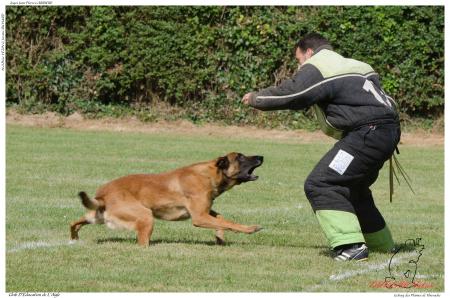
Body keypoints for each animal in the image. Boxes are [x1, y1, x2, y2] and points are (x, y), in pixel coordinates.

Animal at [68, 152, 262, 246]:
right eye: (240, 157)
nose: (262, 157)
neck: (210, 174)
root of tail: (103, 195)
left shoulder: (205, 211)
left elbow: (221, 219)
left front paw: (219, 237)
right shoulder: (199, 217)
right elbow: (228, 222)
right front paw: (249, 229)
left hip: (97, 216)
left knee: (74, 222)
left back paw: (73, 239)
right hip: (145, 216)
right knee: (142, 243)